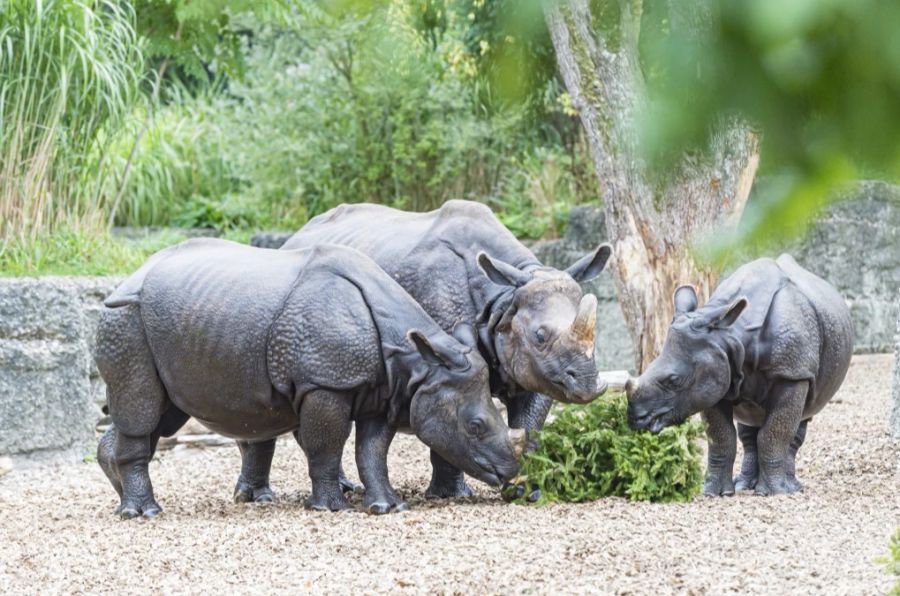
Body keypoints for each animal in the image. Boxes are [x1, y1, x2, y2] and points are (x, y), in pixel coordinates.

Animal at [95, 237, 524, 516]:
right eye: (475, 426)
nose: (510, 473)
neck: (415, 362)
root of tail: (123, 281)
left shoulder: (382, 387)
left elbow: (373, 450)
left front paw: (388, 507)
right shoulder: (325, 382)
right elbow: (327, 443)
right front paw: (330, 508)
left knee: (159, 415)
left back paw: (120, 496)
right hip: (126, 318)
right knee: (141, 409)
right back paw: (145, 512)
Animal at [234, 199, 612, 498]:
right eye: (540, 336)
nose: (588, 384)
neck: (503, 298)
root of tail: (294, 236)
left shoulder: (536, 370)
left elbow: (529, 425)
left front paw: (528, 490)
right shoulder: (446, 359)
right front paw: (451, 495)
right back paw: (261, 495)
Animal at [624, 254, 852, 496]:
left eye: (673, 380)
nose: (635, 419)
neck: (732, 335)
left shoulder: (792, 371)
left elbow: (774, 433)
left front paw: (774, 493)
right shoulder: (713, 377)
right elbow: (721, 437)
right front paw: (713, 492)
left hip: (807, 368)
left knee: (801, 417)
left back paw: (790, 487)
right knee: (750, 423)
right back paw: (745, 485)